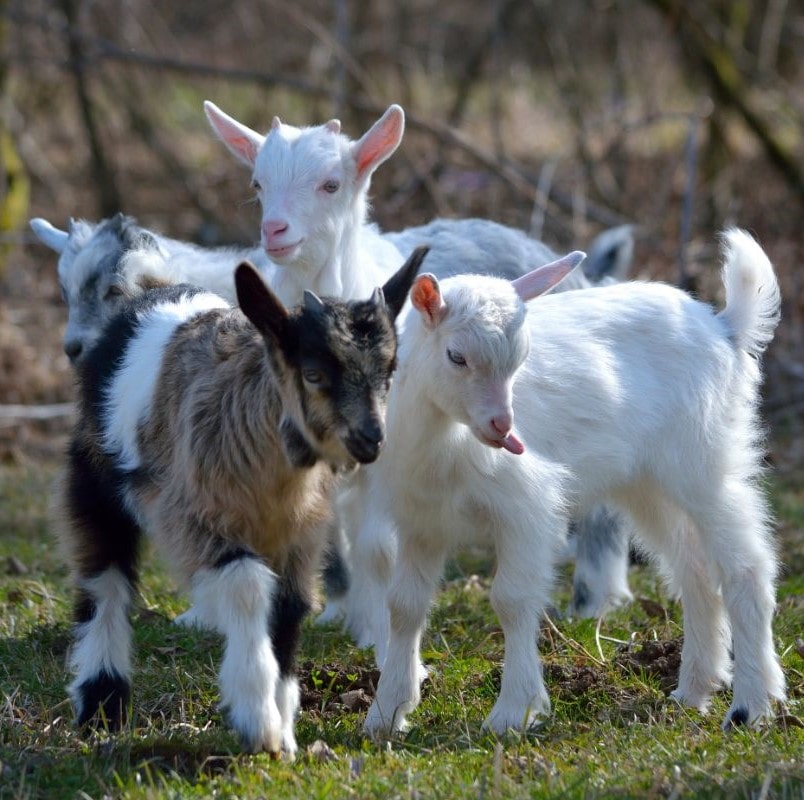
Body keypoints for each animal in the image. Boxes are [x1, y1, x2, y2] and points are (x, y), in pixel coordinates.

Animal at [56, 246, 427, 755]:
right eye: (313, 374)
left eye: (388, 371)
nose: (372, 440)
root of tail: (151, 292)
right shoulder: (194, 513)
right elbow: (248, 586)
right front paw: (258, 719)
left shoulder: (302, 534)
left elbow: (289, 607)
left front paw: (284, 728)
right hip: (96, 478)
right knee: (103, 581)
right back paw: (102, 705)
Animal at [362, 230, 785, 736]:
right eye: (456, 356)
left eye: (521, 358)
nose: (504, 428)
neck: (445, 437)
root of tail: (725, 328)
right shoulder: (420, 521)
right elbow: (404, 606)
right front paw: (386, 714)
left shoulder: (527, 507)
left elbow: (511, 599)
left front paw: (514, 713)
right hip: (647, 485)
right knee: (695, 571)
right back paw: (693, 691)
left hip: (706, 461)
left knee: (746, 567)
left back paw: (750, 706)